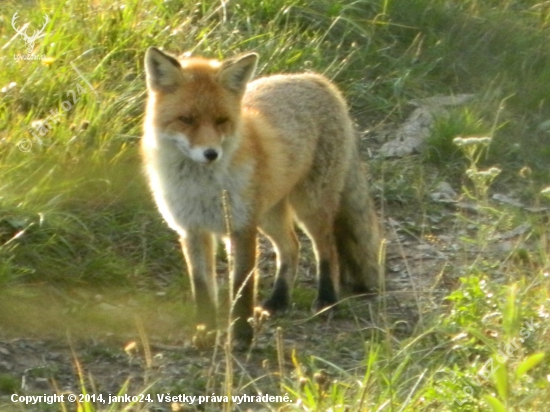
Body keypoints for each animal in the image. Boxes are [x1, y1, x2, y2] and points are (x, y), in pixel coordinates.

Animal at [142, 46, 384, 346]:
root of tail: (314, 78)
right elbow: (202, 289)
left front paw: (241, 338)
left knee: (326, 247)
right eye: (186, 120)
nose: (211, 154)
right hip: (270, 214)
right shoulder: (192, 230)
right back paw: (279, 300)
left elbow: (242, 288)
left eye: (221, 121)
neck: (202, 188)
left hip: (309, 205)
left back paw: (327, 299)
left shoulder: (242, 228)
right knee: (292, 246)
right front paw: (205, 334)